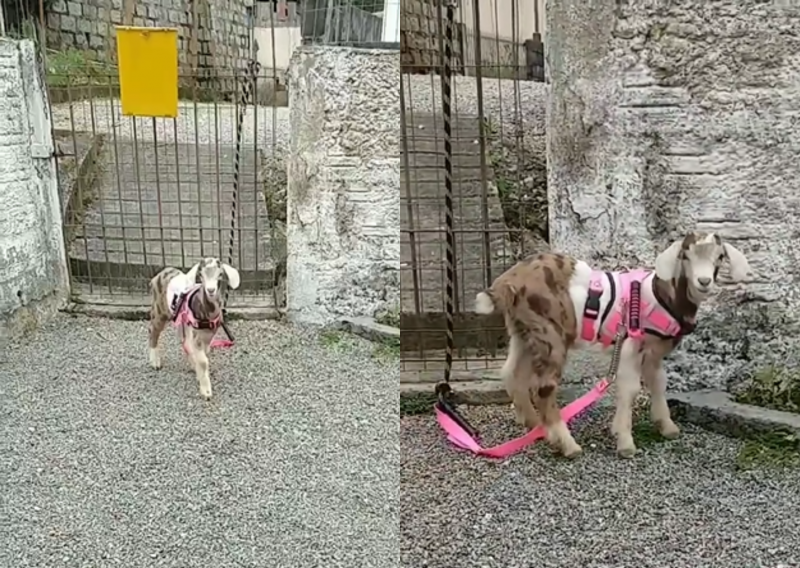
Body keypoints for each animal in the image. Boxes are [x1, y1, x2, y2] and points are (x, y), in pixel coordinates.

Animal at [148, 257, 241, 399]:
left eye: (220, 274)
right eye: (201, 275)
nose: (210, 290)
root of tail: (161, 273)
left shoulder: (208, 335)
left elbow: (203, 354)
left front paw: (200, 373)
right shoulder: (198, 336)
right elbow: (203, 361)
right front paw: (206, 391)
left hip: (183, 320)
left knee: (185, 341)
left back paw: (192, 364)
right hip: (159, 310)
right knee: (153, 331)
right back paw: (155, 362)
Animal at [475, 232, 752, 459]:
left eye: (719, 257)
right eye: (685, 255)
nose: (704, 281)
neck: (662, 294)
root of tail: (508, 281)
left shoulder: (653, 351)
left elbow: (658, 383)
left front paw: (667, 427)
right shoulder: (630, 344)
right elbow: (629, 390)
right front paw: (625, 443)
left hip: (524, 331)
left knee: (511, 373)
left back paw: (536, 426)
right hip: (549, 332)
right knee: (543, 388)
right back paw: (567, 445)